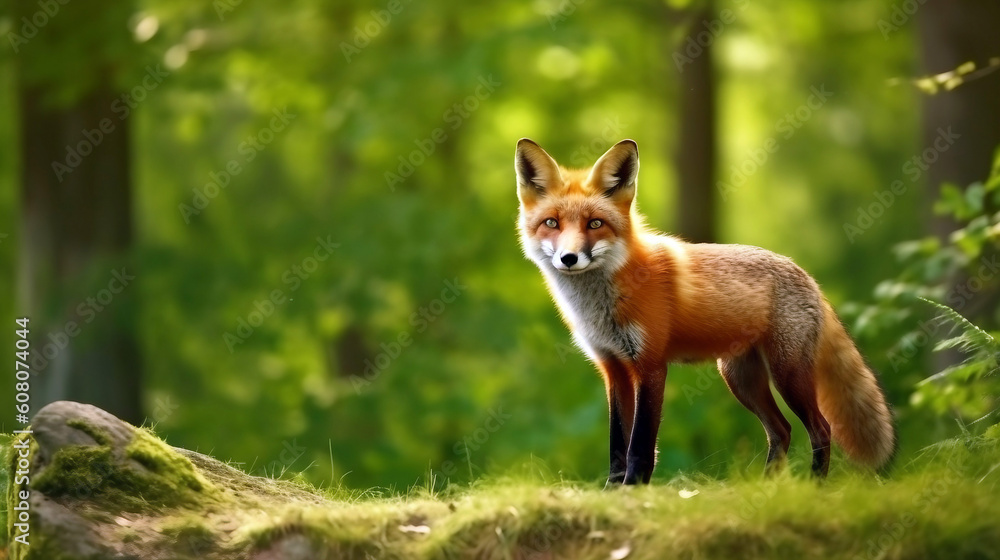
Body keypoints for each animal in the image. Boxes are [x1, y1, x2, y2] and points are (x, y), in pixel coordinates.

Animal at [515, 138, 895, 486]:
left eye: (594, 224)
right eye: (552, 223)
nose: (568, 258)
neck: (603, 304)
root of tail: (808, 277)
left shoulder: (651, 366)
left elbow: (640, 445)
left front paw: (633, 488)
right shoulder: (613, 368)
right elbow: (617, 445)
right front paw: (613, 491)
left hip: (787, 375)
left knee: (820, 428)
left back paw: (813, 488)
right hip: (741, 380)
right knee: (782, 430)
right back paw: (767, 487)